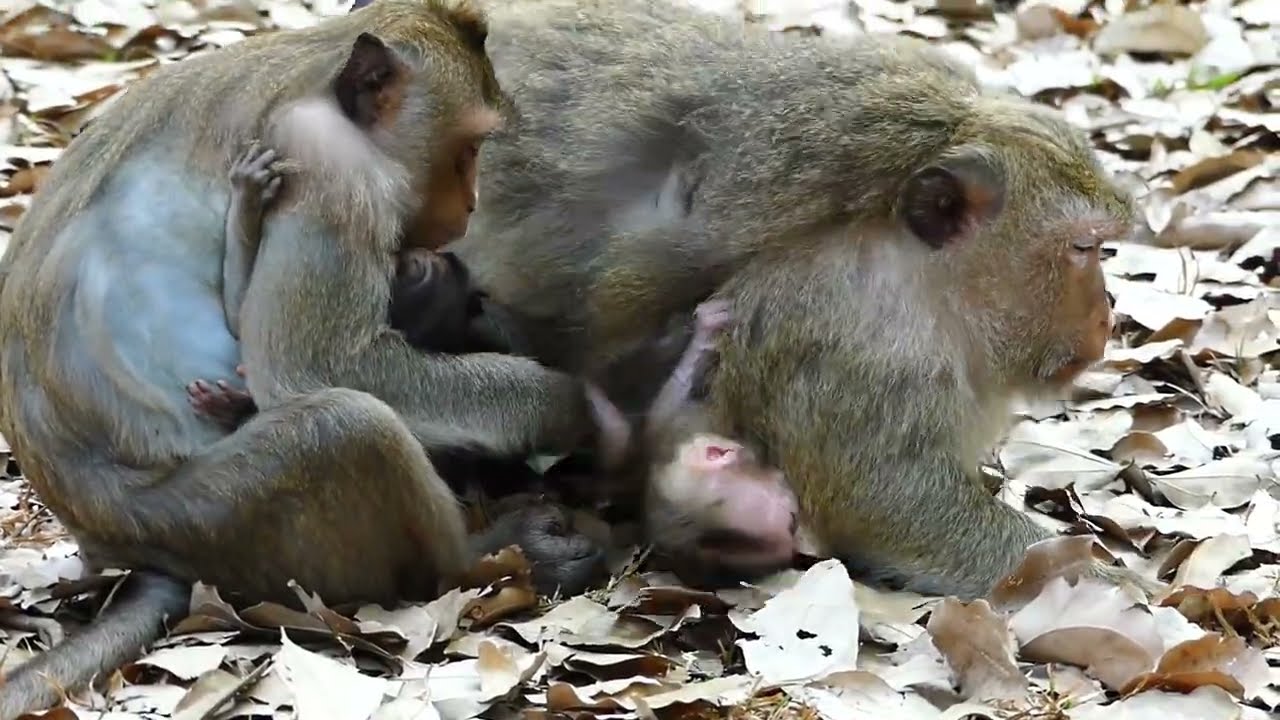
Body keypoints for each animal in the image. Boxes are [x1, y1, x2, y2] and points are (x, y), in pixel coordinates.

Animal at [0, 3, 622, 717]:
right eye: (468, 148)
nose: (468, 204)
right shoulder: (331, 170)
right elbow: (314, 365)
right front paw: (568, 406)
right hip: (220, 519)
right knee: (347, 426)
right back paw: (479, 556)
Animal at [433, 0, 1162, 598]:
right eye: (1082, 249)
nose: (1108, 314)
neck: (913, 272)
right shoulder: (849, 343)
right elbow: (894, 508)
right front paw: (1111, 583)